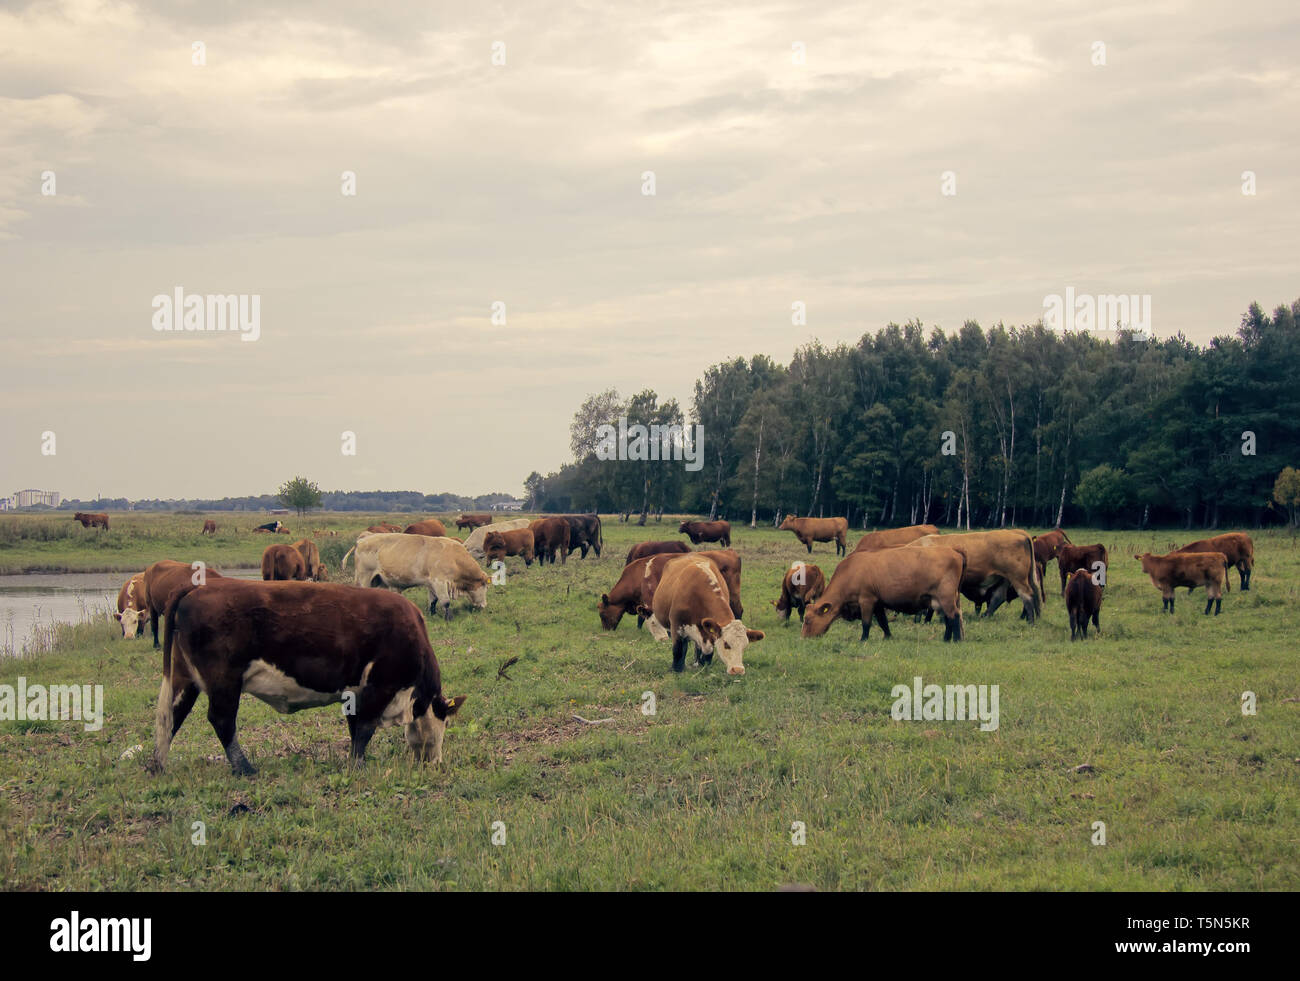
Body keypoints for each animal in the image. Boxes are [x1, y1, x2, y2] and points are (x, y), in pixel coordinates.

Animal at [149, 579, 467, 775]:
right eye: (446, 722)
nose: (436, 762)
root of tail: (200, 587)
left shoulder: (355, 693)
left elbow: (355, 729)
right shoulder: (380, 687)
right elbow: (365, 729)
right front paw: (359, 767)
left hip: (185, 680)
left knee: (171, 716)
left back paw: (158, 765)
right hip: (224, 681)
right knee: (221, 720)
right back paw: (245, 768)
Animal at [343, 532, 490, 620]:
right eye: (485, 586)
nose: (484, 605)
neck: (454, 557)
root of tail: (363, 539)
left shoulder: (432, 584)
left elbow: (433, 600)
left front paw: (433, 614)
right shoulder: (440, 582)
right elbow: (445, 601)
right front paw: (448, 618)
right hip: (364, 578)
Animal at [801, 546, 965, 642]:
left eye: (807, 620)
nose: (803, 638)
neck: (851, 571)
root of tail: (955, 553)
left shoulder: (866, 600)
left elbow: (866, 623)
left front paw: (863, 639)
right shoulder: (878, 603)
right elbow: (883, 622)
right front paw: (888, 637)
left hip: (946, 597)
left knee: (954, 616)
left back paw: (956, 640)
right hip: (941, 600)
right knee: (949, 618)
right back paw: (946, 638)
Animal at [907, 530, 1041, 622]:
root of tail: (1020, 535)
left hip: (1017, 577)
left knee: (1027, 595)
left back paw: (1030, 621)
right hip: (1005, 578)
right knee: (999, 597)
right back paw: (986, 616)